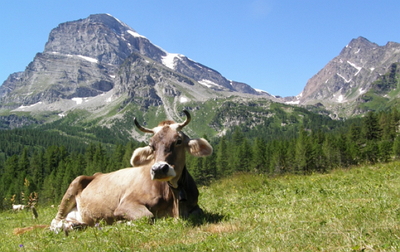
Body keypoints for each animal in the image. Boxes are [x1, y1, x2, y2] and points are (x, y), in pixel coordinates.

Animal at [50, 110, 212, 234]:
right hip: (73, 185)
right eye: (151, 146)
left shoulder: (195, 206)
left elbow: (198, 213)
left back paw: (77, 225)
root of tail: (95, 174)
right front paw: (121, 223)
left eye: (178, 141)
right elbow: (148, 216)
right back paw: (67, 226)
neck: (174, 199)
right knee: (54, 221)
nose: (159, 169)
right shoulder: (126, 204)